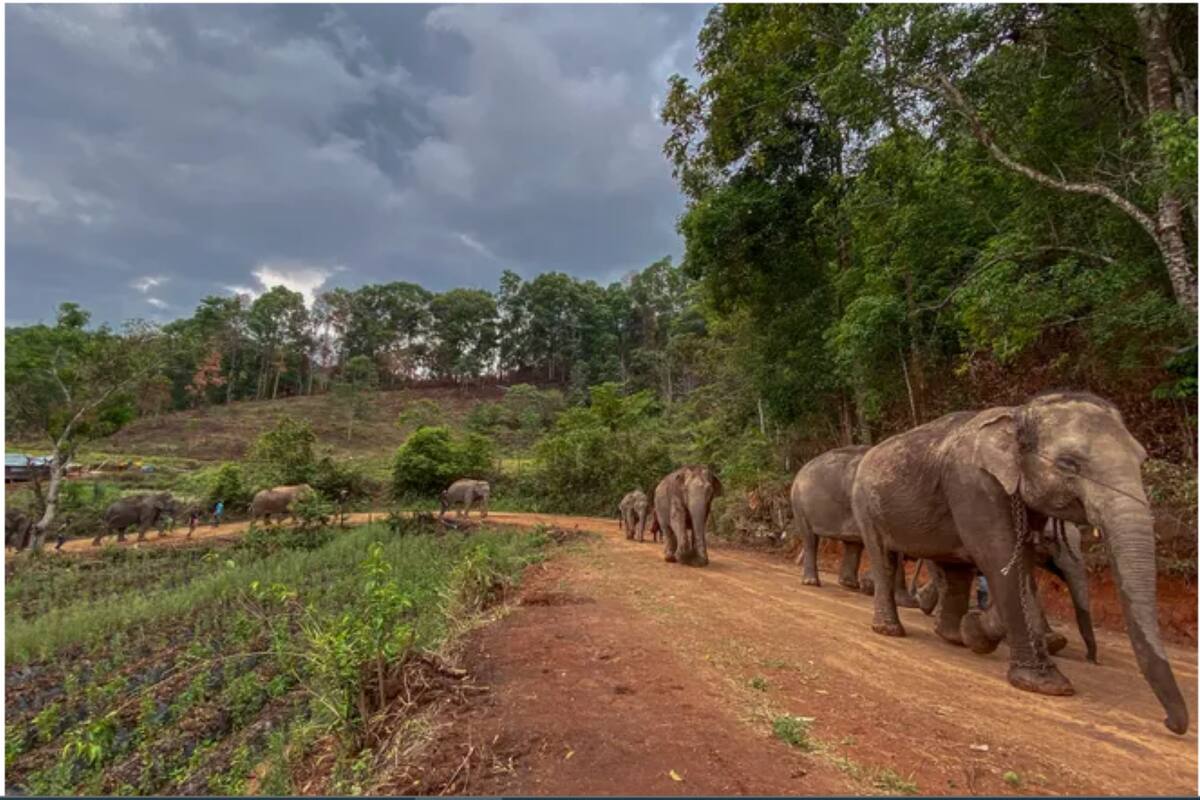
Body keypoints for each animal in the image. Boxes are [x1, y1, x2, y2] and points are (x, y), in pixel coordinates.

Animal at [789, 446, 917, 607]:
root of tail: (801, 471)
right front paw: (905, 603)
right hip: (799, 504)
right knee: (810, 538)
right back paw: (812, 582)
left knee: (852, 544)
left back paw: (850, 585)